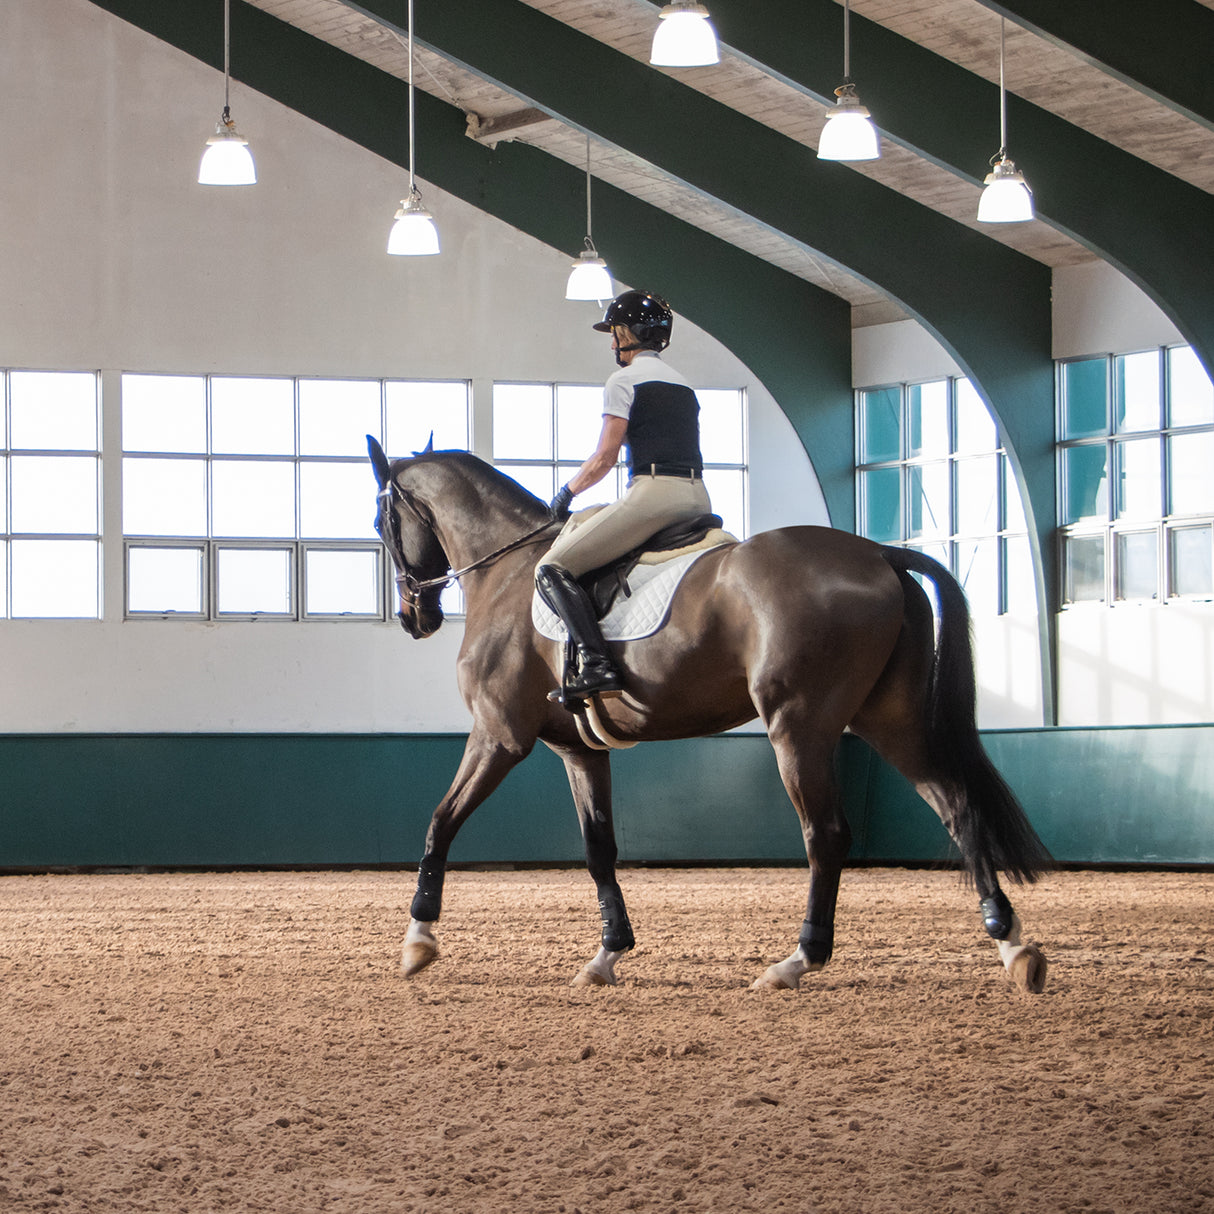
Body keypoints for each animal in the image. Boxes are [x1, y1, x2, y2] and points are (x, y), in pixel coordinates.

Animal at [364, 441, 1048, 990]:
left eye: (381, 518)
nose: (414, 616)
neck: (506, 571)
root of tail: (879, 555)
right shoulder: (579, 749)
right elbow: (599, 849)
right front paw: (608, 955)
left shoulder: (499, 735)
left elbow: (440, 823)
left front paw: (418, 942)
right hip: (890, 722)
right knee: (957, 809)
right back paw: (1013, 946)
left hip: (799, 727)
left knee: (826, 835)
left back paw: (798, 961)